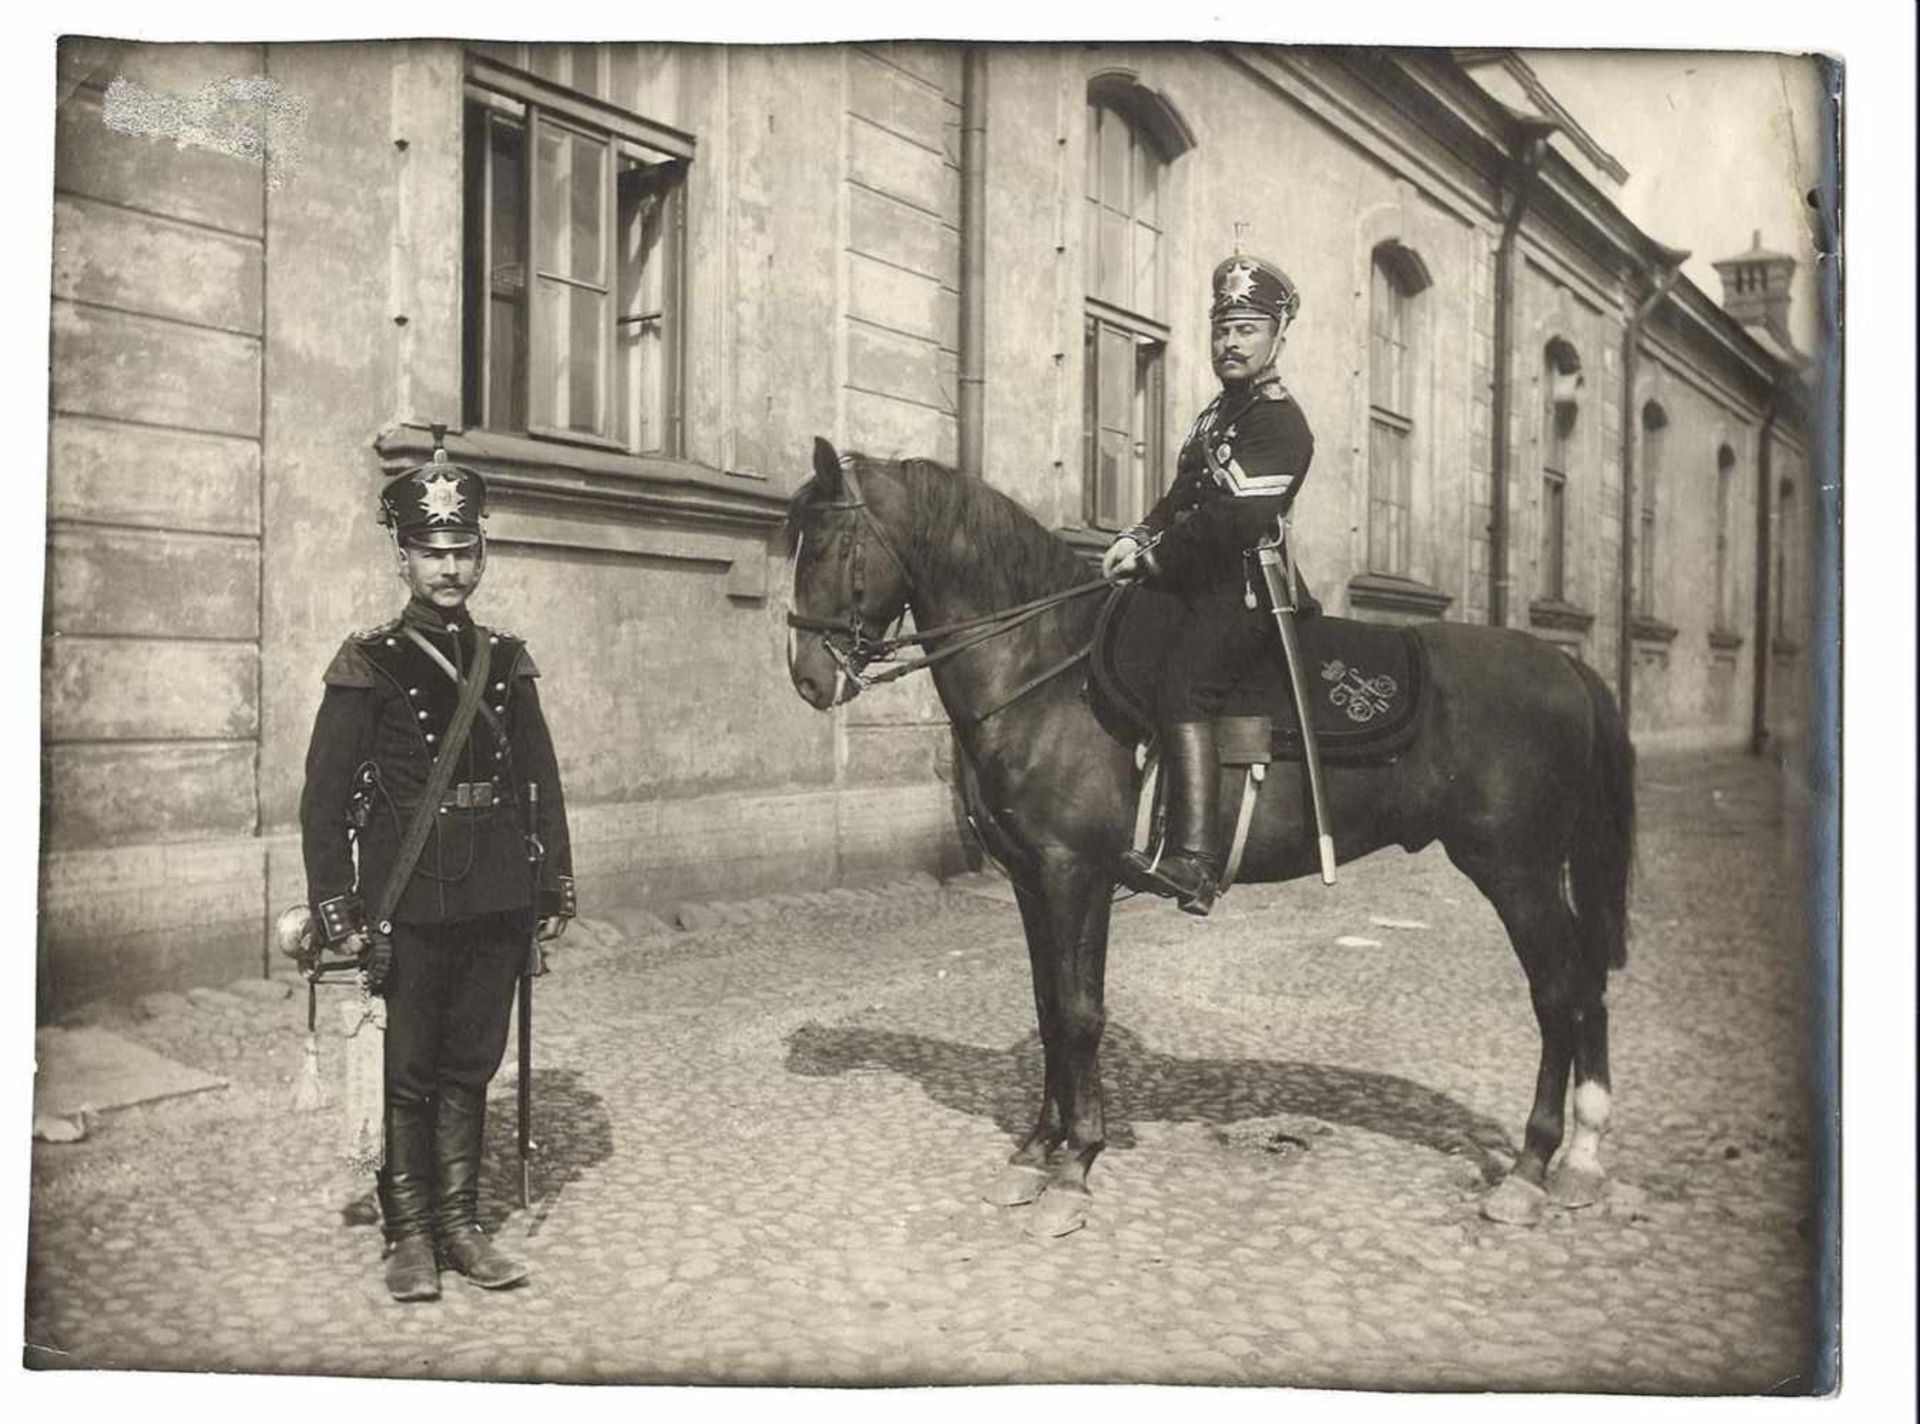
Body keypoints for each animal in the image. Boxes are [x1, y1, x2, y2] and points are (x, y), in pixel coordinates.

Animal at [779, 441, 1635, 1243]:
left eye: (822, 546)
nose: (808, 678)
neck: (1044, 672)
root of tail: (1566, 667)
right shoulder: (1033, 879)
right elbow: (1051, 1006)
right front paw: (1035, 1152)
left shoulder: (1073, 874)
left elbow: (1080, 1014)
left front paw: (1075, 1168)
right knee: (1588, 984)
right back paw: (1583, 1160)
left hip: (1516, 872)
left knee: (1559, 993)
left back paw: (1530, 1170)